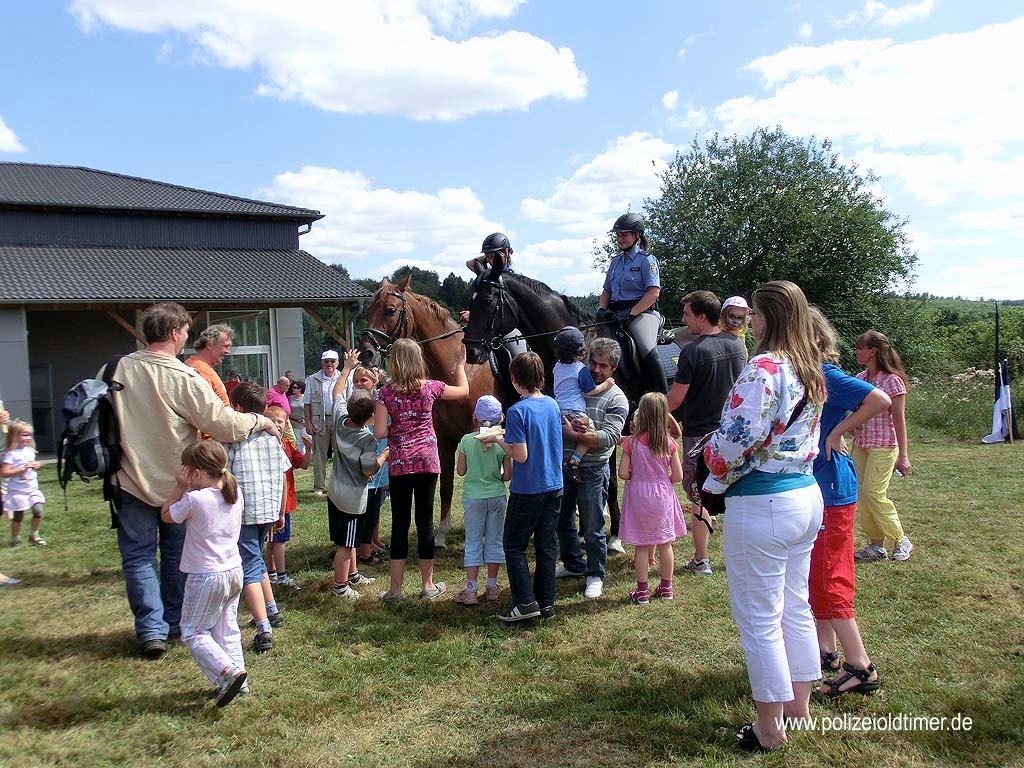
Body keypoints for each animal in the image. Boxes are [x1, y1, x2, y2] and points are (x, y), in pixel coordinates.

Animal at [362, 274, 505, 548]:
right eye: (368, 310)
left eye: (390, 310)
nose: (366, 352)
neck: (459, 370)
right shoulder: (445, 439)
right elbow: (446, 485)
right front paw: (441, 535)